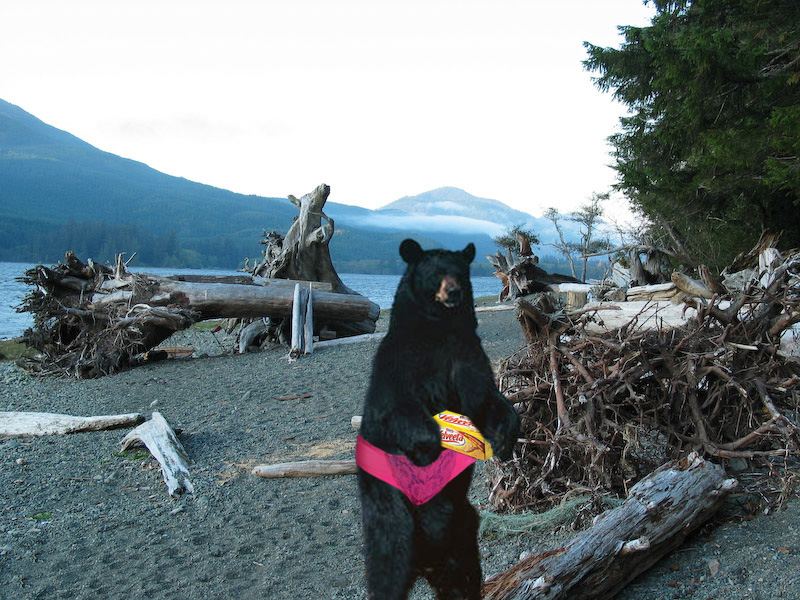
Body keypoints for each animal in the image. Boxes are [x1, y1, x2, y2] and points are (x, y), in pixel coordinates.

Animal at [357, 238, 521, 600]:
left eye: (460, 272)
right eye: (435, 273)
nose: (454, 292)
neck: (437, 329)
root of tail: (425, 563)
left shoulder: (465, 354)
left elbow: (484, 397)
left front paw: (504, 439)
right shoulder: (398, 364)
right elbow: (398, 407)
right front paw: (430, 447)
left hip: (463, 534)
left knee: (464, 578)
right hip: (391, 518)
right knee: (387, 566)